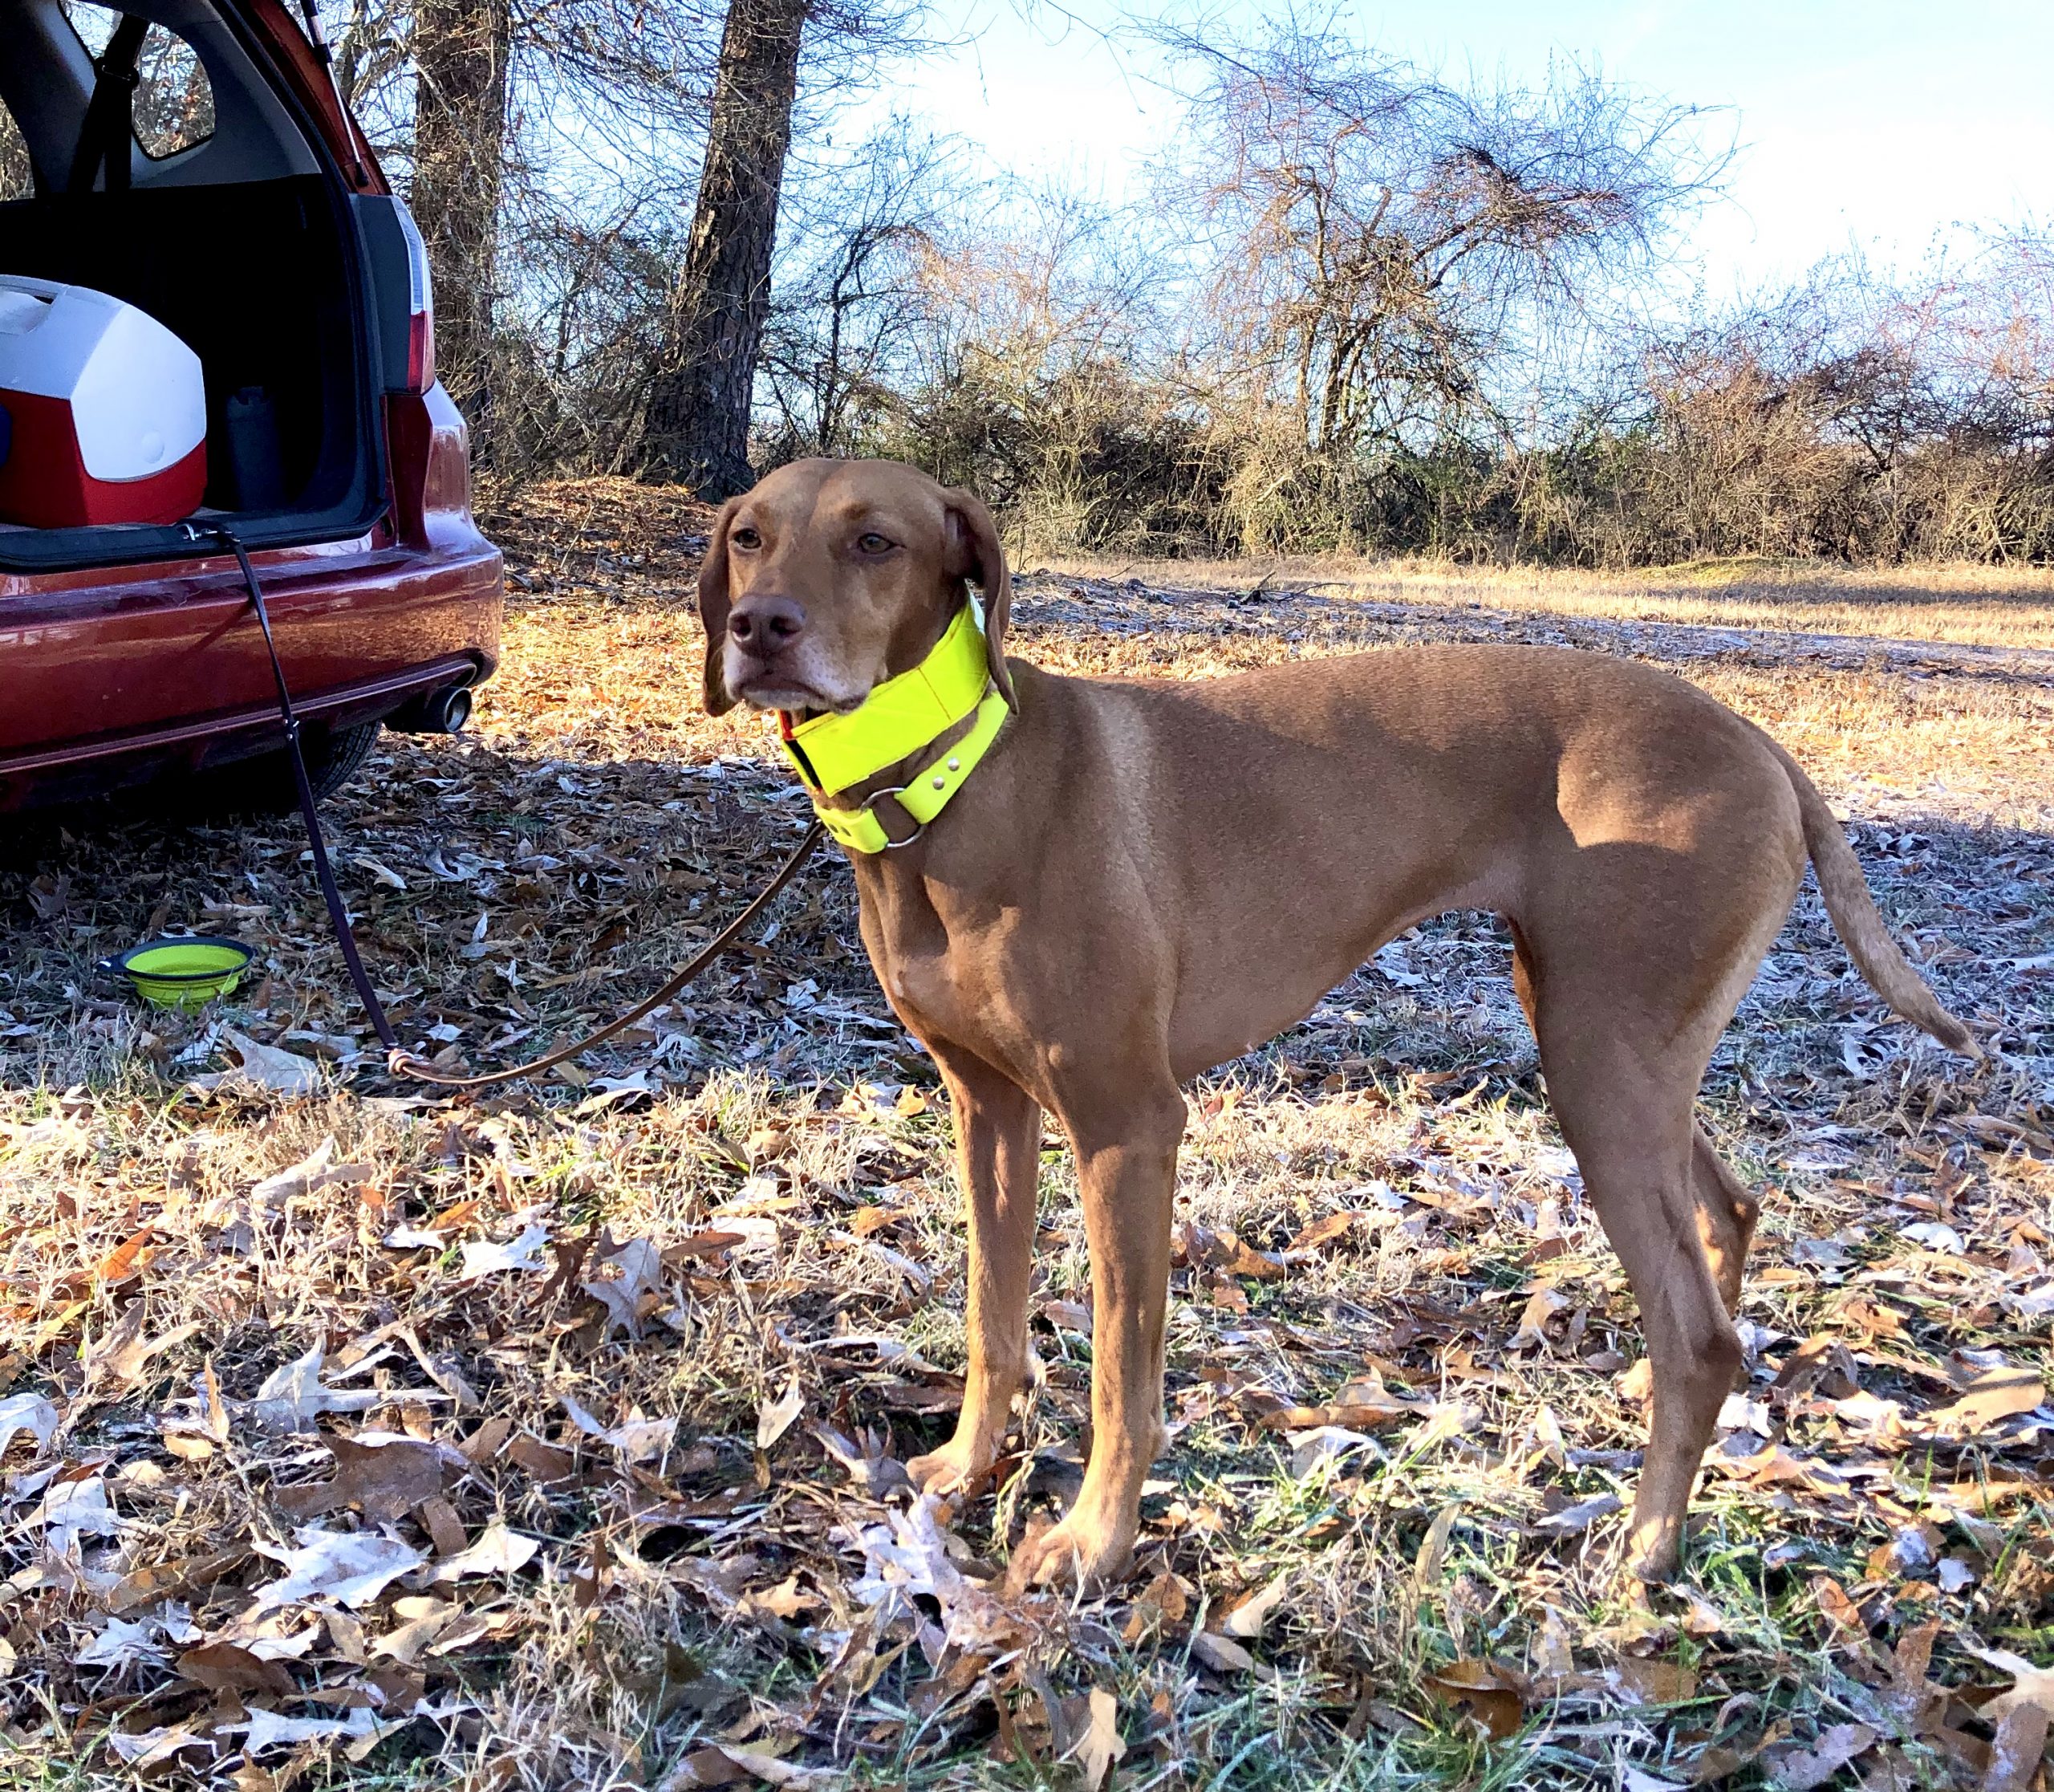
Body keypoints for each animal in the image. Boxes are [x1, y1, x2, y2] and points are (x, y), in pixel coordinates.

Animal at [698, 458, 1979, 1578]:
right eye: (748, 534)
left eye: (876, 541)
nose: (757, 629)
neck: (951, 781)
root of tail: (1759, 740)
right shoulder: (988, 1107)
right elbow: (993, 1317)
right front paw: (967, 1469)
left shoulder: (1128, 1125)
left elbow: (1121, 1370)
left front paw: (1095, 1544)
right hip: (1616, 1047)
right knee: (1725, 1224)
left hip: (1599, 1059)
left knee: (1699, 1331)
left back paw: (1648, 1549)